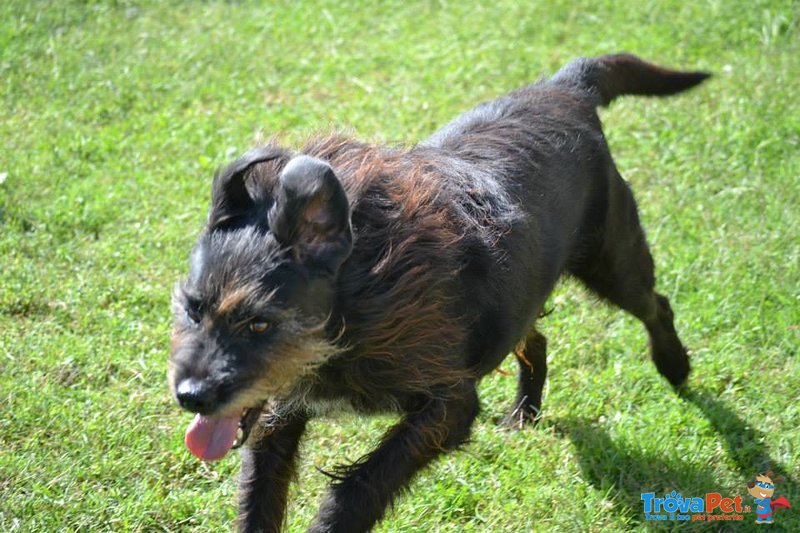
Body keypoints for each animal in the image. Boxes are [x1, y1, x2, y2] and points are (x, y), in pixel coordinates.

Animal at [167, 53, 708, 528]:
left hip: (613, 262)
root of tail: (566, 86)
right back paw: (525, 412)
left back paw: (674, 365)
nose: (190, 397)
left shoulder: (448, 406)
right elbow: (259, 496)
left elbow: (357, 490)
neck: (360, 294)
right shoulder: (278, 414)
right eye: (193, 310)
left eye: (260, 323)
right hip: (524, 291)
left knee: (655, 304)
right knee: (536, 337)